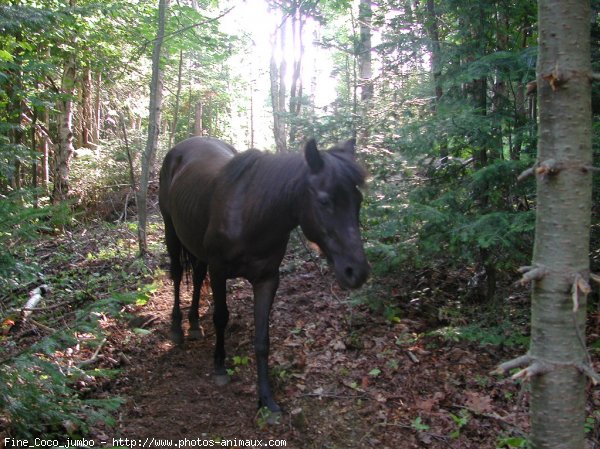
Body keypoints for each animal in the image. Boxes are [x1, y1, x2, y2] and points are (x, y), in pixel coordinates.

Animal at [157, 135, 368, 414]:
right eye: (324, 201)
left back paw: (193, 325)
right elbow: (221, 317)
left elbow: (262, 339)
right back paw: (177, 328)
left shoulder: (267, 279)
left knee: (198, 275)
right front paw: (220, 366)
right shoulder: (219, 271)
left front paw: (266, 399)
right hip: (171, 229)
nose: (357, 272)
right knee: (178, 273)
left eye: (358, 200)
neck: (251, 215)